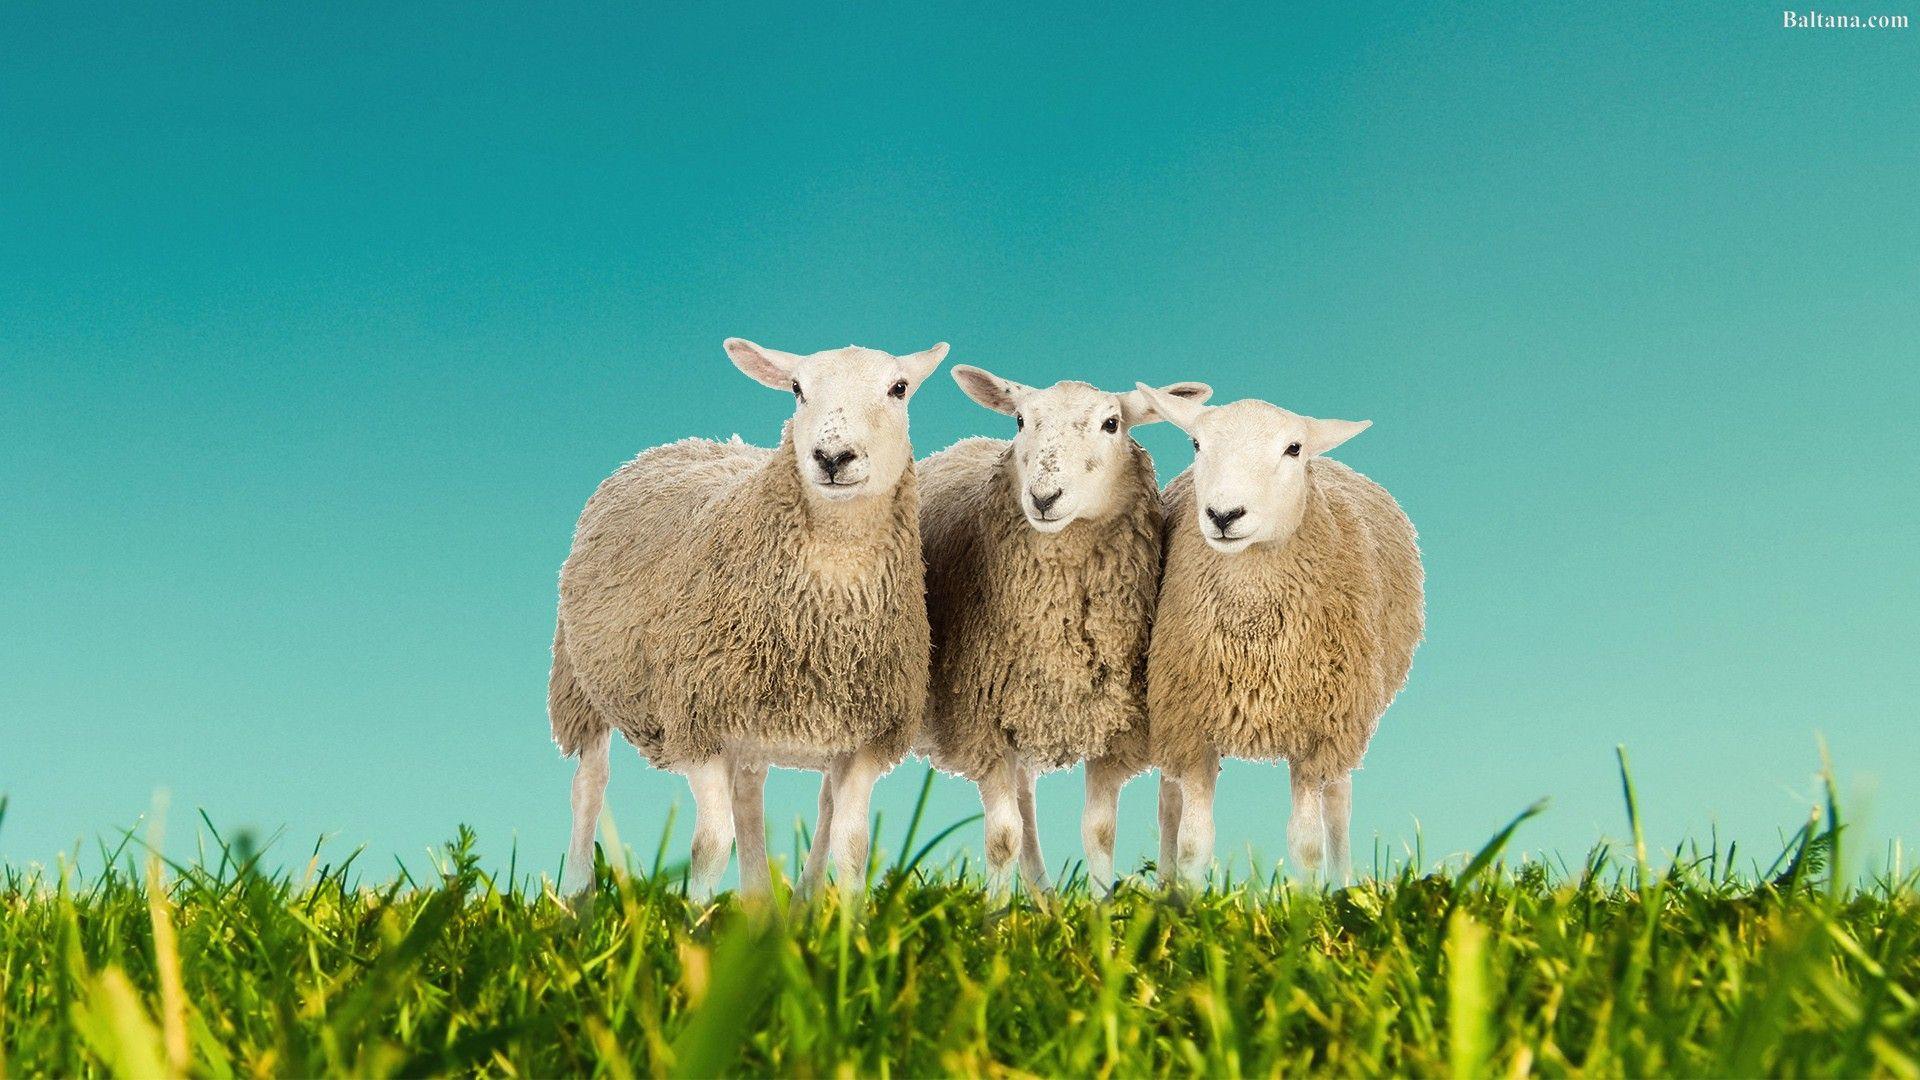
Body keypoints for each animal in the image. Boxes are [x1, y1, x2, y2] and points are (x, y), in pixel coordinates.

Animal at [549, 339, 947, 901]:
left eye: (898, 388)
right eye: (797, 389)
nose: (832, 457)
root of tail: (683, 444)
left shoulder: (866, 739)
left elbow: (851, 845)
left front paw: (854, 918)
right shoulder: (694, 718)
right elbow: (710, 845)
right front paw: (693, 919)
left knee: (749, 794)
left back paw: (759, 903)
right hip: (578, 681)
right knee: (589, 786)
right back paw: (578, 897)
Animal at [911, 366, 1211, 895]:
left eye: (1112, 423)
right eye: (1020, 420)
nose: (1044, 498)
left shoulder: (1114, 724)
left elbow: (1099, 831)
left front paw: (1101, 906)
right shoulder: (984, 723)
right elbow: (1002, 837)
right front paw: (994, 912)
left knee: (1026, 798)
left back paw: (1044, 896)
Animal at [1131, 385, 1424, 887]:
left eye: (1293, 448)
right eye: (1196, 444)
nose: (1223, 514)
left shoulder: (1316, 730)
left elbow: (1306, 844)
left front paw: (1308, 900)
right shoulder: (1191, 725)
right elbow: (1193, 841)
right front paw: (1182, 898)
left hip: (1346, 718)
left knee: (1338, 805)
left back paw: (1344, 882)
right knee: (1168, 802)